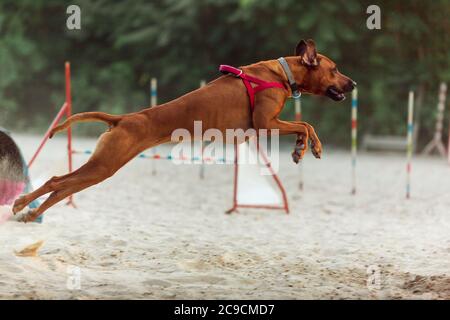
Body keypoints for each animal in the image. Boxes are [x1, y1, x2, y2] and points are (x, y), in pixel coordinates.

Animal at [14, 38, 356, 221]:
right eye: (335, 69)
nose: (353, 83)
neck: (281, 73)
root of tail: (122, 119)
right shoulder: (265, 124)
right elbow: (306, 124)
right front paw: (310, 147)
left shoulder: (267, 126)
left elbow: (304, 125)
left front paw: (301, 148)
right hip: (104, 164)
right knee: (57, 181)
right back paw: (20, 203)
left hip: (102, 168)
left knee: (63, 188)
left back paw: (30, 212)